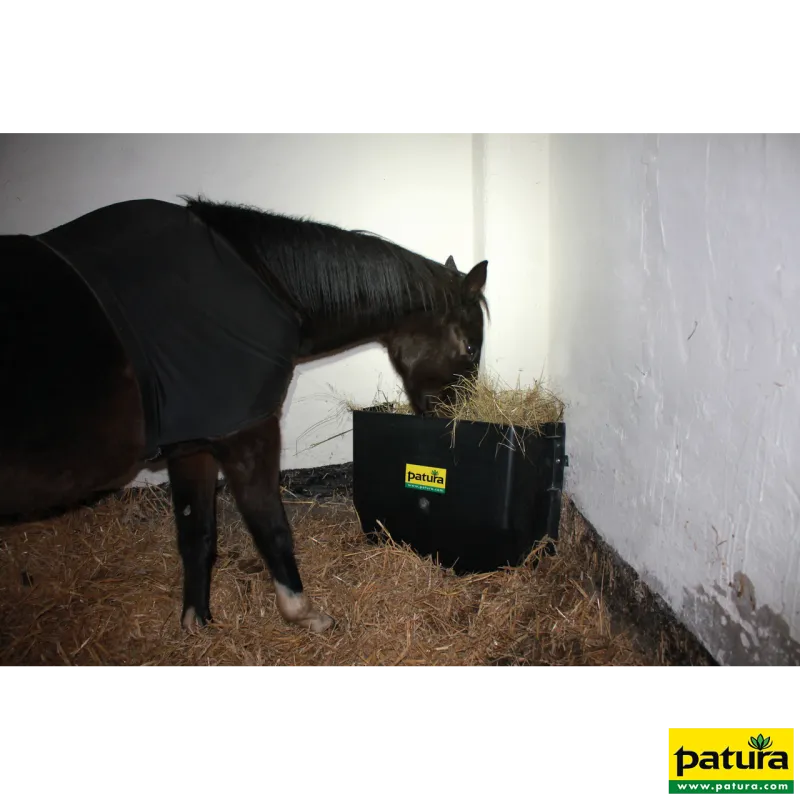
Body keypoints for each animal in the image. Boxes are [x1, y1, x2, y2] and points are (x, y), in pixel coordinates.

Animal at [0, 195, 489, 634]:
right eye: (470, 347)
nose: (457, 418)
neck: (262, 282)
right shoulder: (247, 435)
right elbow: (270, 527)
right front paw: (303, 613)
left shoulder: (191, 446)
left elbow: (196, 533)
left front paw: (197, 621)